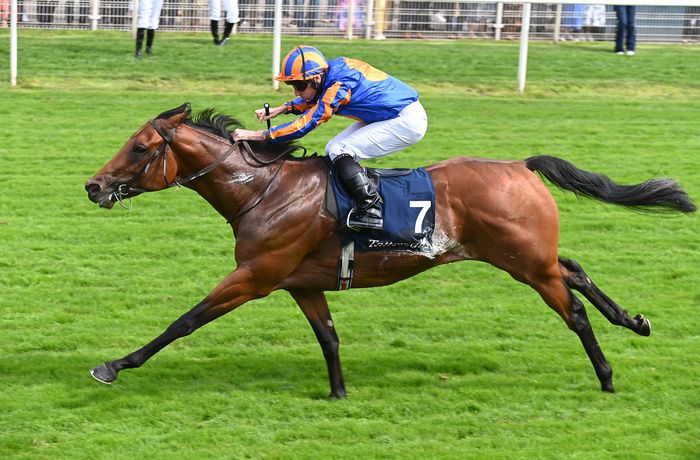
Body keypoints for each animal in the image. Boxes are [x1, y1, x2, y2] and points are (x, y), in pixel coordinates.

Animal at [85, 102, 692, 398]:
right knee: (576, 269)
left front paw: (114, 365)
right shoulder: (301, 282)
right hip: (529, 255)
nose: (93, 186)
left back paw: (607, 376)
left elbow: (185, 321)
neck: (264, 189)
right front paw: (337, 393)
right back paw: (634, 321)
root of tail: (521, 166)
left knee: (575, 311)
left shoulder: (256, 276)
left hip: (525, 264)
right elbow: (329, 338)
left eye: (139, 148)